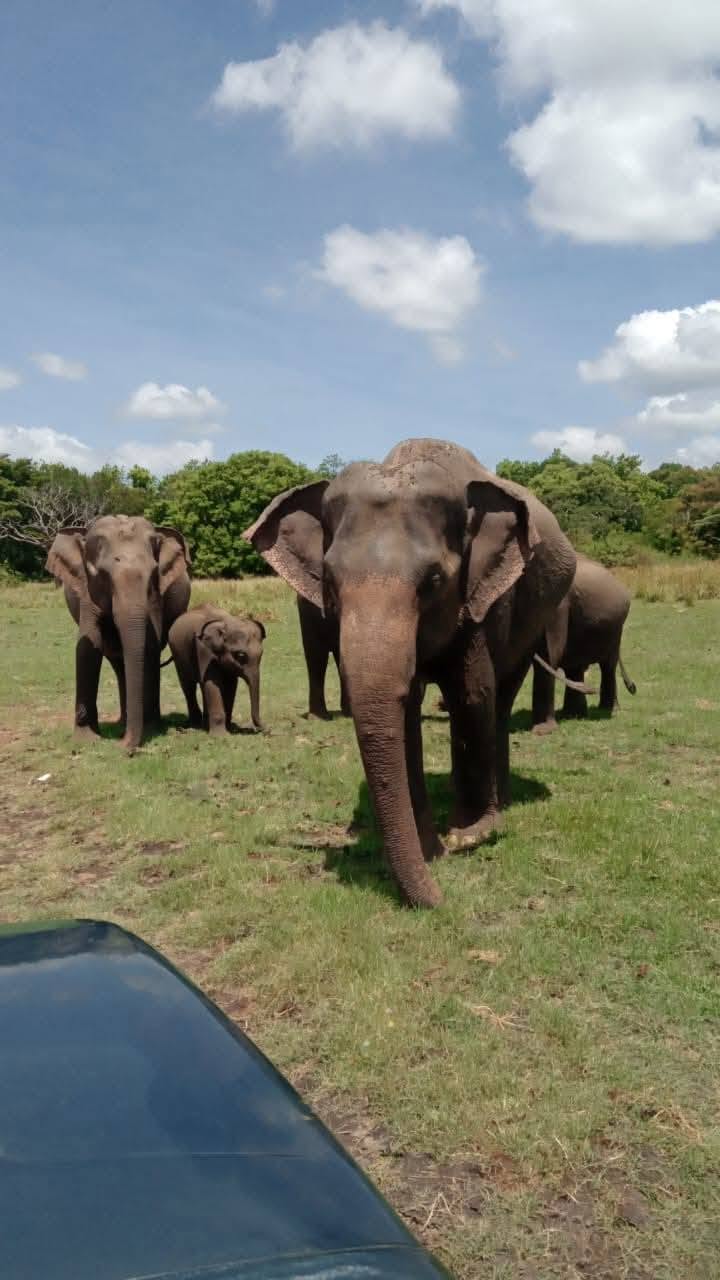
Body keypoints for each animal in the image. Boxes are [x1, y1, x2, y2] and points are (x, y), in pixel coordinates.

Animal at [46, 515, 191, 752]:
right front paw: (86, 740)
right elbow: (88, 646)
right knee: (116, 662)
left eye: (153, 575)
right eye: (102, 576)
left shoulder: (156, 597)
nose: (122, 746)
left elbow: (150, 645)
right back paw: (123, 722)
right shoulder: (87, 589)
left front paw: (150, 729)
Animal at [167, 605, 266, 734]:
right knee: (188, 686)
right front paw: (220, 735)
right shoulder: (204, 650)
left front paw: (228, 728)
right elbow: (212, 682)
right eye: (240, 655)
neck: (226, 622)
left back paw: (205, 724)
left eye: (261, 654)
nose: (266, 729)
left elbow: (230, 684)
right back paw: (195, 724)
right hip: (178, 655)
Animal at [244, 438, 577, 909]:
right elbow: (405, 710)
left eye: (433, 581)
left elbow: (471, 694)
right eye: (329, 581)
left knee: (501, 693)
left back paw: (499, 805)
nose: (442, 898)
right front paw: (429, 843)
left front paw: (467, 835)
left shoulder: (486, 596)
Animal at [531, 553, 636, 734]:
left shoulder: (557, 604)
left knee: (608, 666)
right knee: (575, 668)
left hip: (616, 629)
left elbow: (549, 654)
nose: (590, 690)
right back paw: (573, 714)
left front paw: (542, 731)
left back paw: (607, 710)